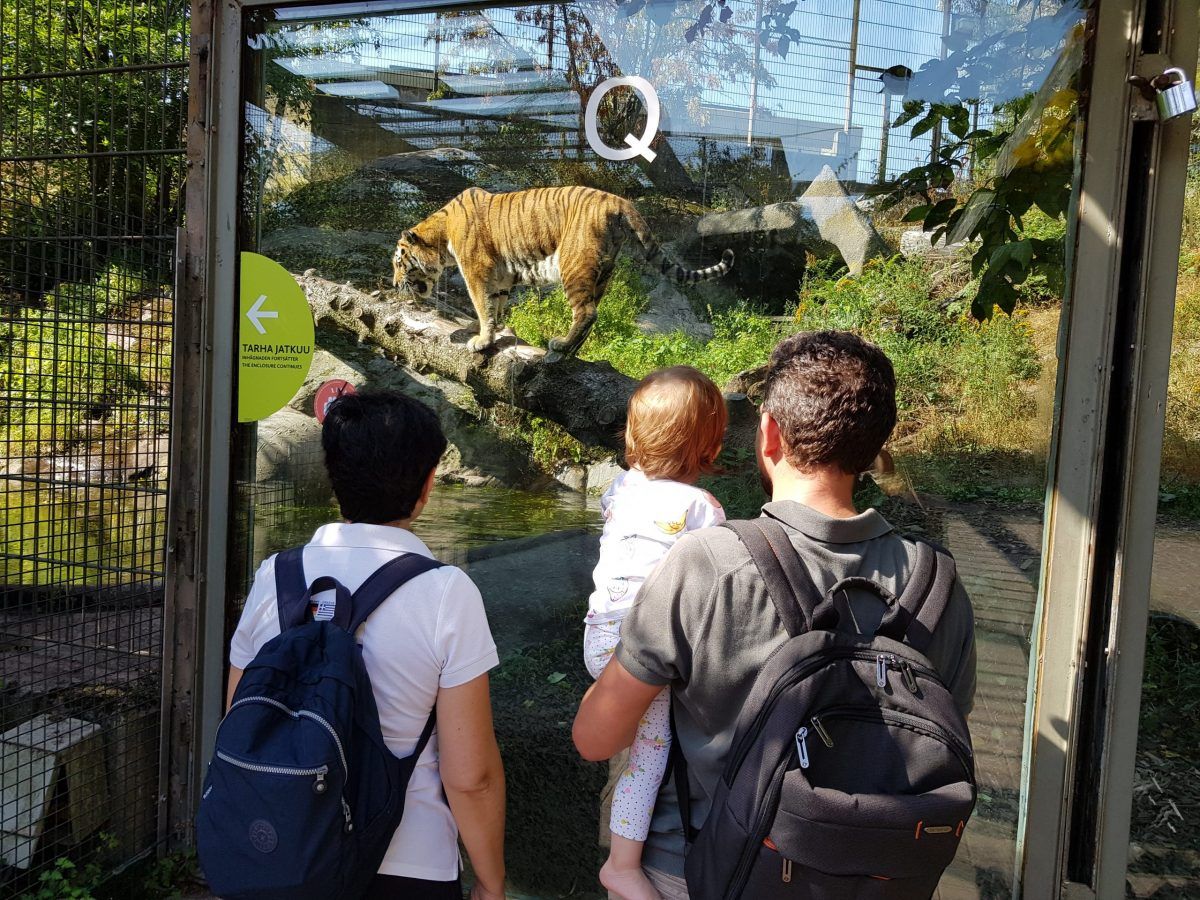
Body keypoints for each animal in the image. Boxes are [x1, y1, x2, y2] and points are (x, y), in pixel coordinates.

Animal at [391, 186, 729, 355]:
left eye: (398, 262)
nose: (394, 285)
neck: (441, 234)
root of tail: (620, 201)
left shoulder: (476, 272)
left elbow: (482, 305)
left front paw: (482, 340)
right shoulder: (501, 277)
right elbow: (495, 305)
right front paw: (494, 330)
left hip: (574, 264)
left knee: (587, 312)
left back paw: (562, 344)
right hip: (604, 271)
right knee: (593, 312)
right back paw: (571, 350)